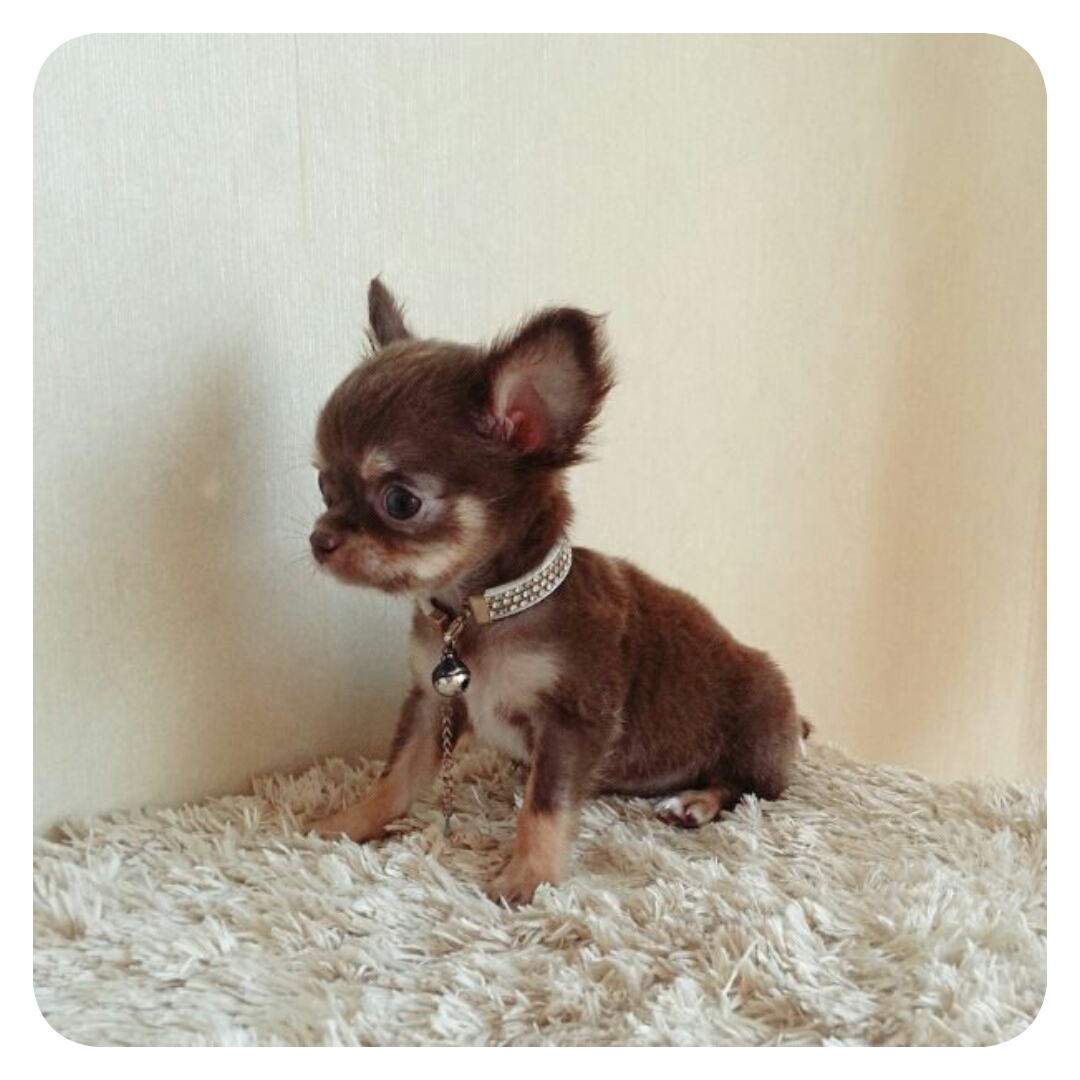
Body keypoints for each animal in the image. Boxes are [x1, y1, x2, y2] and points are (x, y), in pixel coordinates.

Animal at [309, 279, 805, 903]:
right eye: (322, 485)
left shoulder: (572, 721)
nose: (318, 539)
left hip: (756, 740)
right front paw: (349, 822)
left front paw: (528, 876)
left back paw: (694, 801)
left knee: (742, 787)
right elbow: (394, 776)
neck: (479, 612)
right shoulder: (431, 701)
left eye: (400, 501)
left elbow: (545, 806)